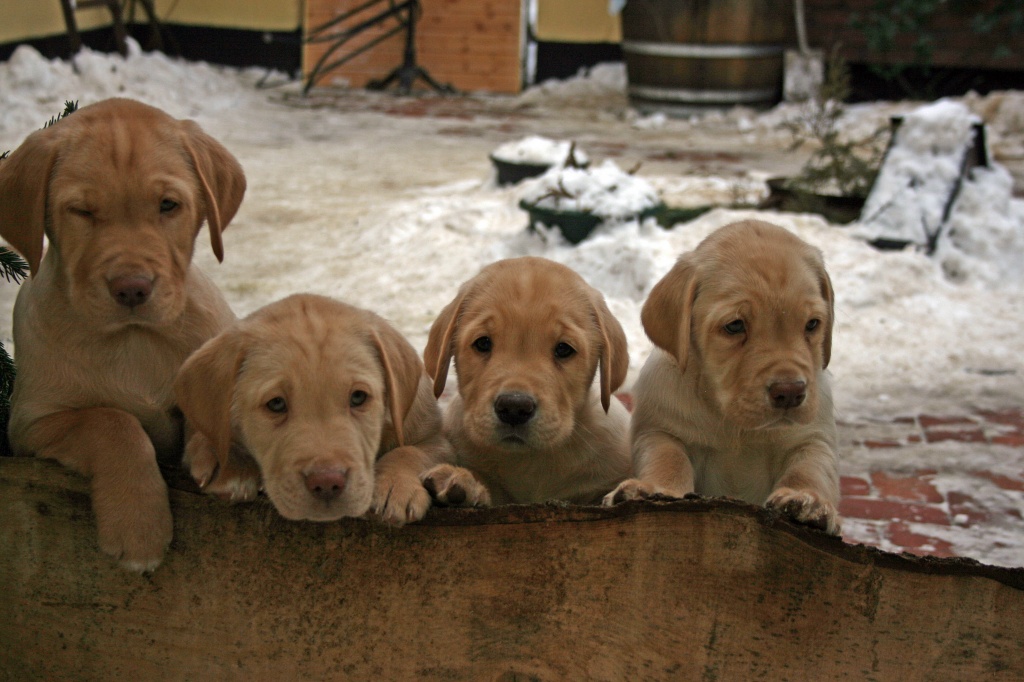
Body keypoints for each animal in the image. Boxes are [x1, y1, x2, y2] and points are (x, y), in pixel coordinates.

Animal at [0, 96, 245, 569]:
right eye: (82, 211)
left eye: (168, 205)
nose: (132, 287)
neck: (134, 340)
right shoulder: (32, 423)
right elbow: (111, 421)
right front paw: (138, 525)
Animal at [176, 292, 452, 524]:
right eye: (276, 404)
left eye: (358, 397)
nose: (328, 483)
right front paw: (229, 461)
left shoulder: (435, 438)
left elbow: (409, 451)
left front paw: (393, 486)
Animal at [606, 220, 839, 532]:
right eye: (735, 326)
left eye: (812, 324)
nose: (791, 392)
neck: (735, 428)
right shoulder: (660, 430)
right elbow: (668, 459)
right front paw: (652, 490)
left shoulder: (813, 439)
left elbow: (808, 469)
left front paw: (806, 500)